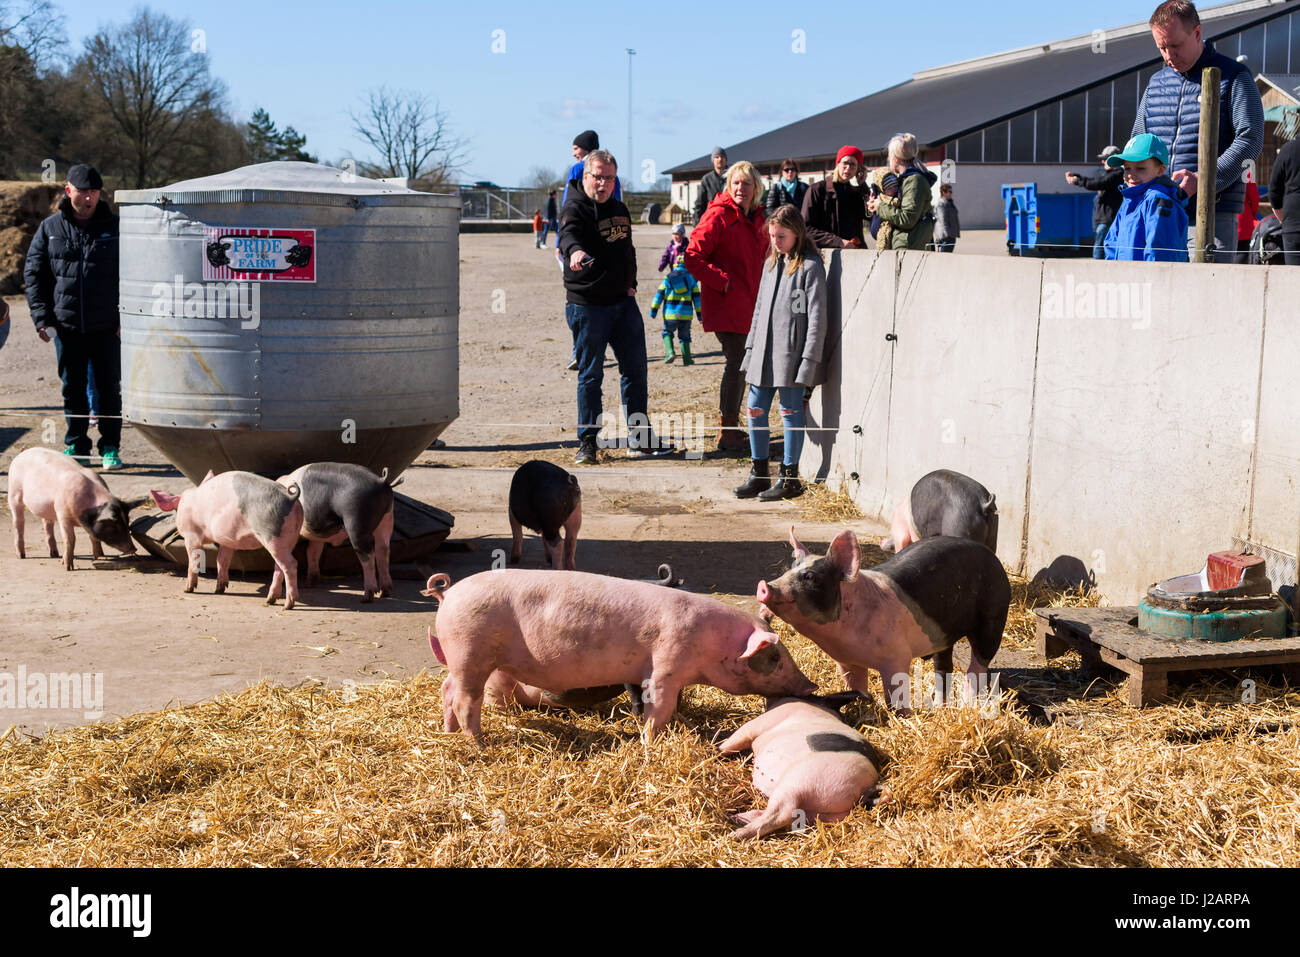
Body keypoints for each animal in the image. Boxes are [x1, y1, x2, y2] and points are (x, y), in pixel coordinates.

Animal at [8, 447, 145, 566]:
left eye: (127, 523)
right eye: (114, 526)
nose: (134, 549)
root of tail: (24, 452)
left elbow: (93, 538)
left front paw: (100, 557)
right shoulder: (62, 514)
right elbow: (70, 539)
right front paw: (67, 566)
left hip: (47, 507)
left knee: (47, 523)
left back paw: (54, 554)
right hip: (14, 493)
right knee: (18, 523)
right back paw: (21, 555)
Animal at [149, 473, 304, 613]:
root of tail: (290, 497)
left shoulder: (191, 536)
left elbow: (194, 561)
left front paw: (187, 589)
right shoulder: (227, 540)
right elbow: (222, 560)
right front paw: (219, 589)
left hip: (272, 536)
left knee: (291, 564)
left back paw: (288, 605)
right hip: (290, 538)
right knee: (279, 567)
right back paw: (270, 600)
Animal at [421, 564, 816, 743]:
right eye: (775, 658)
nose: (810, 686)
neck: (712, 642)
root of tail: (448, 594)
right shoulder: (665, 665)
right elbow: (659, 706)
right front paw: (651, 741)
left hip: (461, 660)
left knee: (447, 691)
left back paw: (449, 734)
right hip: (471, 651)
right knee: (465, 699)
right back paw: (478, 744)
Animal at [717, 691, 889, 842]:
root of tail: (863, 790)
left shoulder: (760, 723)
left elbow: (733, 741)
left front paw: (715, 749)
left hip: (801, 780)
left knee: (782, 814)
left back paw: (734, 834)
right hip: (822, 813)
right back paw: (736, 818)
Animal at [759, 530, 1008, 712]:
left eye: (810, 577)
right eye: (789, 569)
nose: (764, 585)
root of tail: (992, 556)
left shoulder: (896, 656)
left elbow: (896, 695)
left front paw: (903, 716)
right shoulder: (846, 662)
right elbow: (856, 686)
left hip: (993, 617)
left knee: (977, 666)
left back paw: (967, 707)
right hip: (942, 635)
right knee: (943, 667)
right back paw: (939, 709)